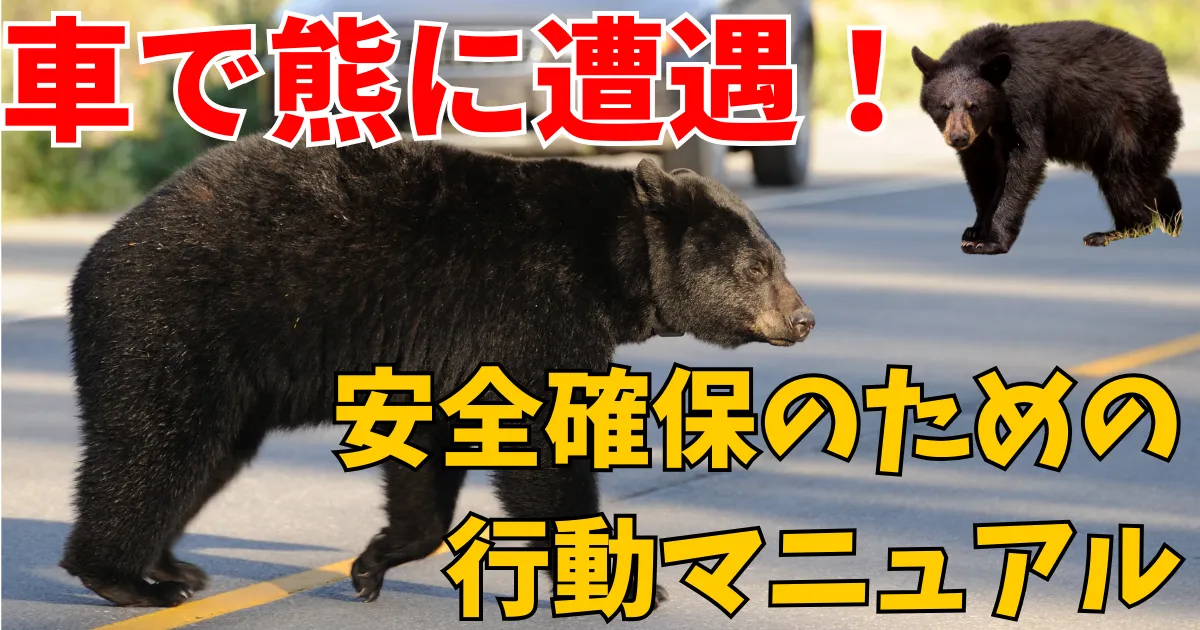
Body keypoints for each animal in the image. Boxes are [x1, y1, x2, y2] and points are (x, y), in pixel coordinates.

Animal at [59, 135, 816, 608]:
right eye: (759, 267)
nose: (803, 318)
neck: (610, 262)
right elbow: (541, 442)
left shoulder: (449, 350)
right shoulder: (529, 303)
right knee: (155, 447)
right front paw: (620, 580)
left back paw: (169, 563)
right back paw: (127, 578)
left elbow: (432, 444)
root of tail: (97, 255)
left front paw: (373, 563)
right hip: (177, 326)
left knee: (203, 457)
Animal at [911, 21, 1184, 255]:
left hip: (1133, 121)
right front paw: (976, 231)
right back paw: (1171, 218)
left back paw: (1115, 232)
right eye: (945, 106)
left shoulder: (1024, 103)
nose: (958, 137)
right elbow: (981, 171)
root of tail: (1164, 72)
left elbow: (1024, 160)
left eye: (973, 106)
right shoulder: (980, 139)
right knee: (1147, 177)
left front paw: (991, 241)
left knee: (1124, 177)